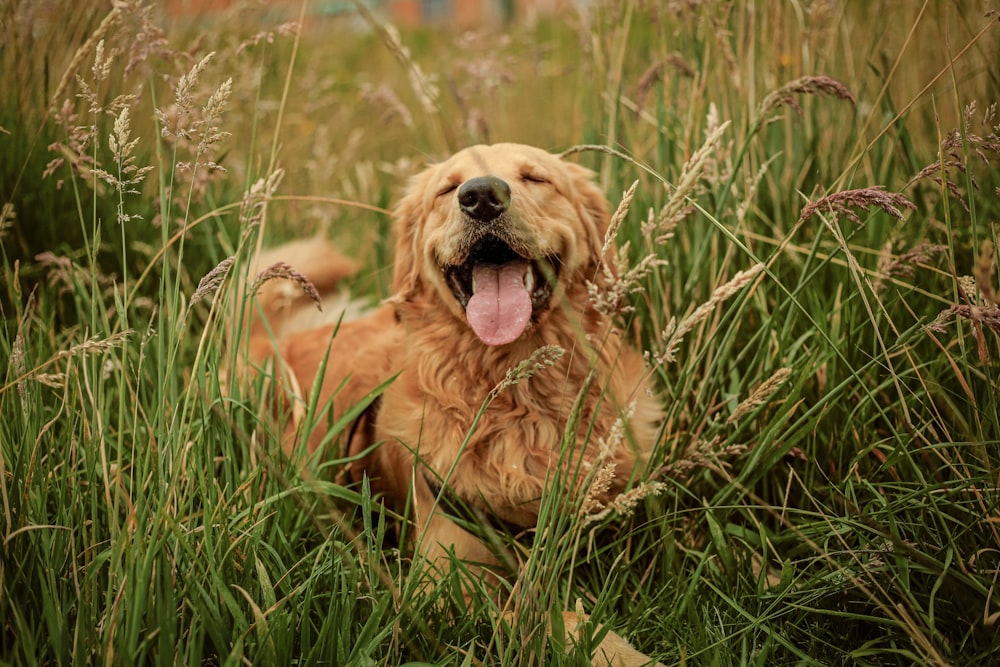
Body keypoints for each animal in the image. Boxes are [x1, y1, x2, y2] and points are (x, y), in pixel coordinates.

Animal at [244, 144, 664, 664]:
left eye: (536, 178)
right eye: (448, 188)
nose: (481, 195)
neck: (513, 395)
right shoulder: (444, 582)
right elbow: (550, 617)